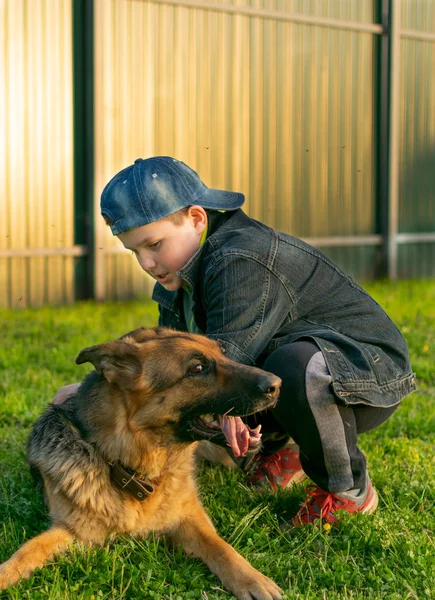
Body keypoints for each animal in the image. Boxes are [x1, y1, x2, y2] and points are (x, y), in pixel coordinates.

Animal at [0, 328, 282, 600]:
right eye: (197, 368)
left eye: (222, 354)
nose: (277, 384)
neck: (132, 468)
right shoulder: (72, 530)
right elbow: (31, 548)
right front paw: (6, 573)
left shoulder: (190, 518)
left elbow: (220, 546)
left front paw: (253, 578)